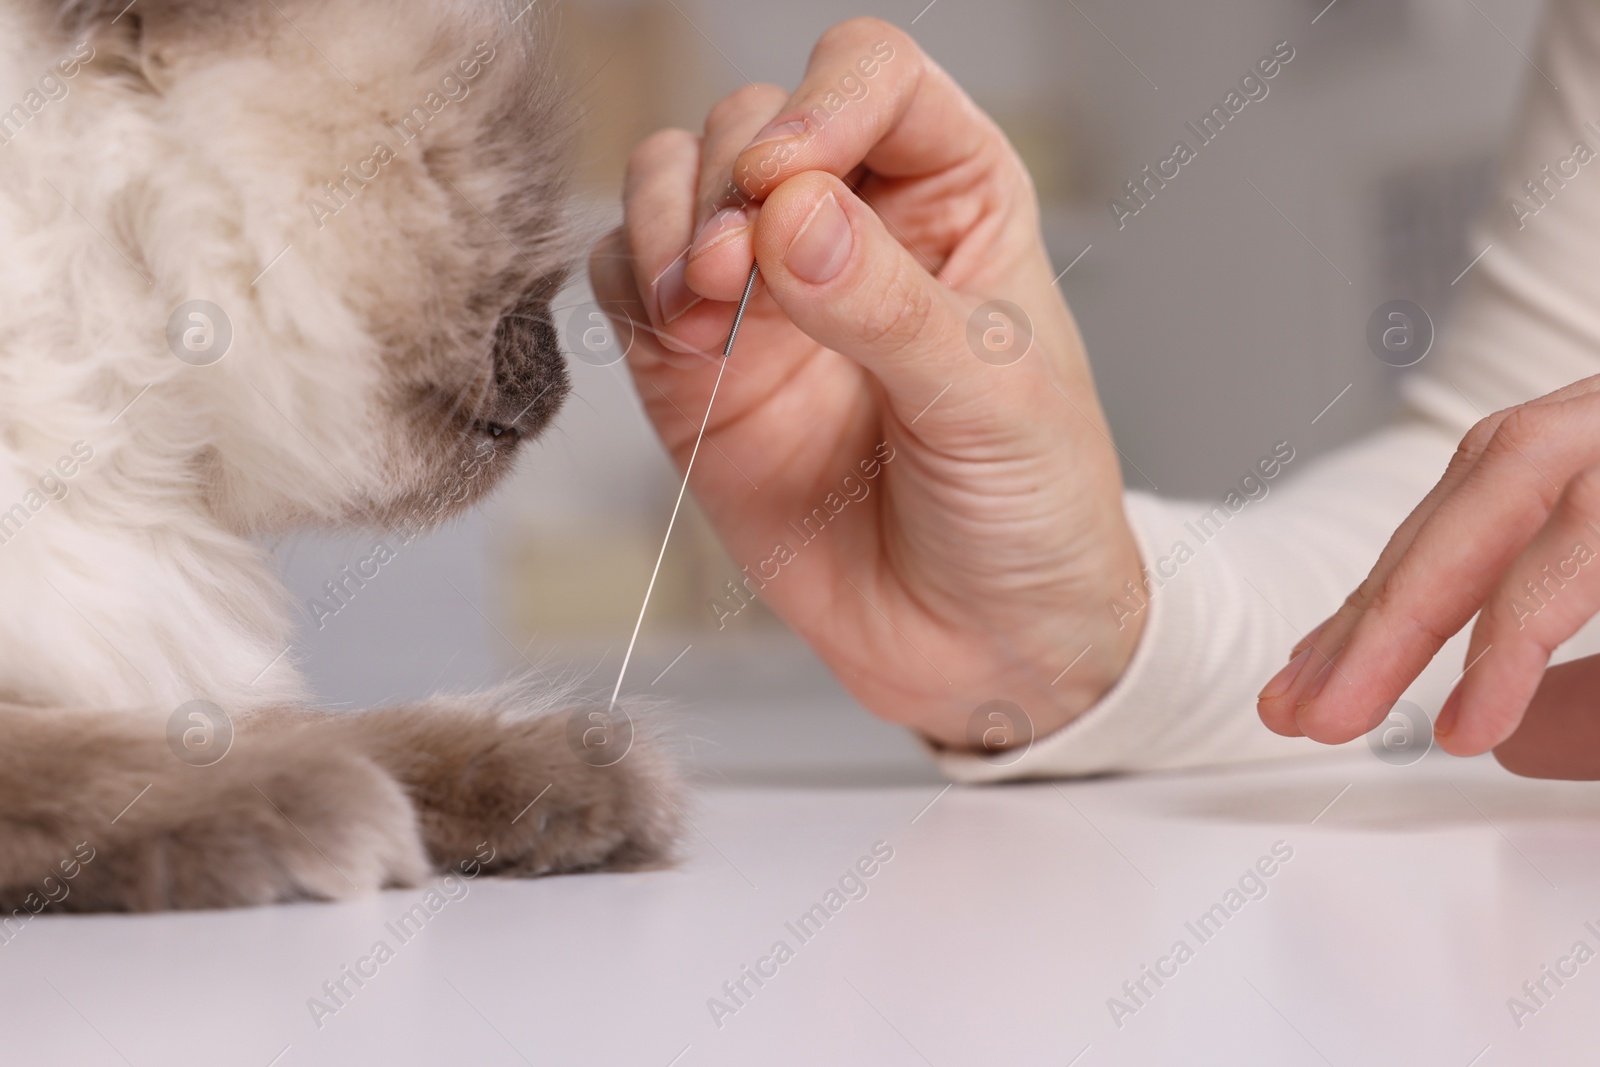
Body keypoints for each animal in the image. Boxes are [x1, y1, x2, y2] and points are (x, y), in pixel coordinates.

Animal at [0, 0, 681, 915]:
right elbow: (115, 764)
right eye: (494, 184)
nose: (557, 383)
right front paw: (322, 810)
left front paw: (575, 786)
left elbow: (365, 732)